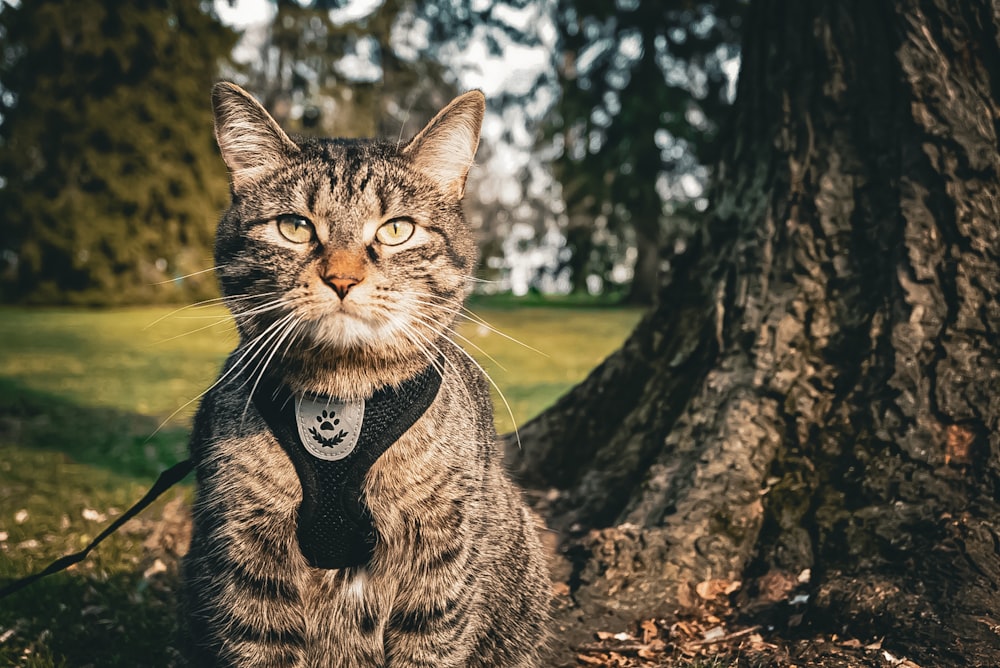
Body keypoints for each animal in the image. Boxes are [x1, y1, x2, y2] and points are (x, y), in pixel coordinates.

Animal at [183, 85, 552, 668]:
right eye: (295, 226)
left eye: (396, 229)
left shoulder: (439, 562)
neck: (342, 393)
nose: (342, 277)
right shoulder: (247, 552)